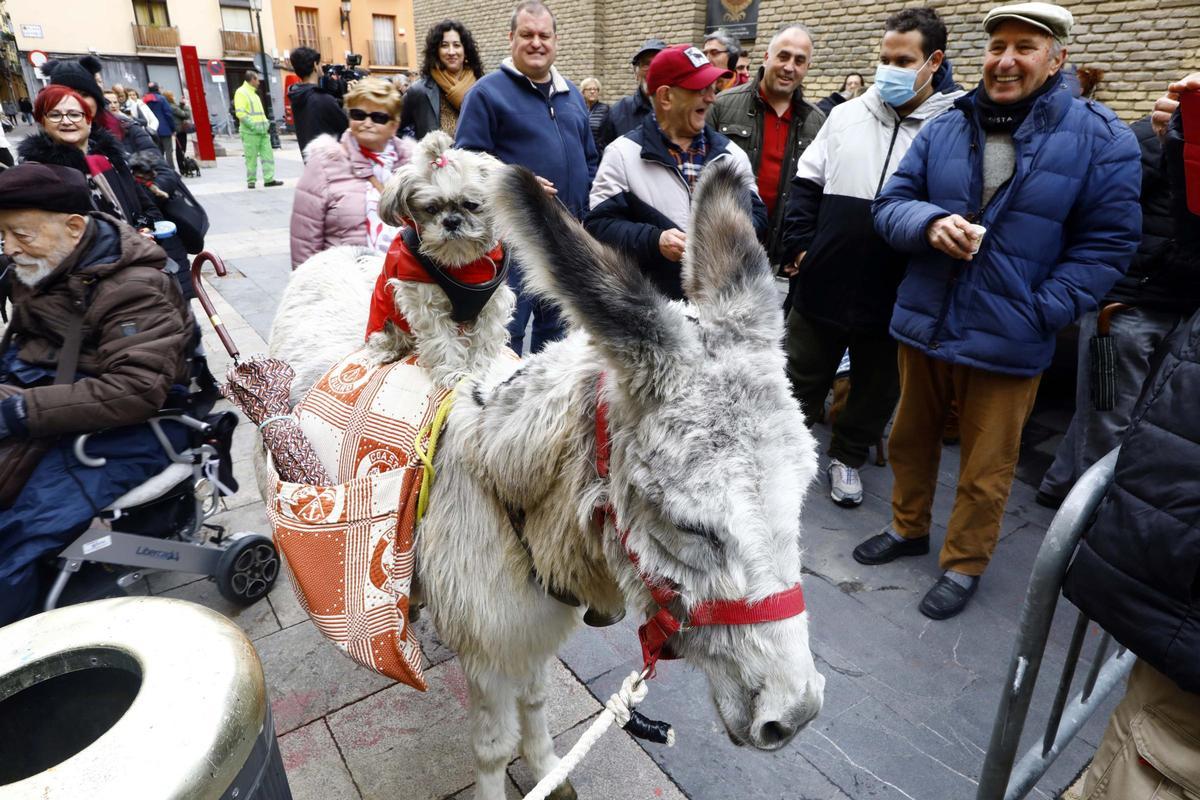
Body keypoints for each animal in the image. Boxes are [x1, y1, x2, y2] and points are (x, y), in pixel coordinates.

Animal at [265, 161, 825, 800]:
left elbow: (535, 703)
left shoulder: (532, 635)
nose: (794, 715)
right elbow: (492, 746)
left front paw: (548, 772)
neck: (513, 502)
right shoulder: (488, 650)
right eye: (688, 526)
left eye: (800, 500)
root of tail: (333, 254)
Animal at [362, 131, 515, 388]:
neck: (460, 262)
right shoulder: (426, 305)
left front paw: (478, 370)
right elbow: (443, 341)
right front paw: (453, 372)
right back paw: (386, 352)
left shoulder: (493, 305)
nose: (451, 221)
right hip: (385, 321)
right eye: (431, 209)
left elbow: (484, 340)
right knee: (385, 341)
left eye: (471, 204)